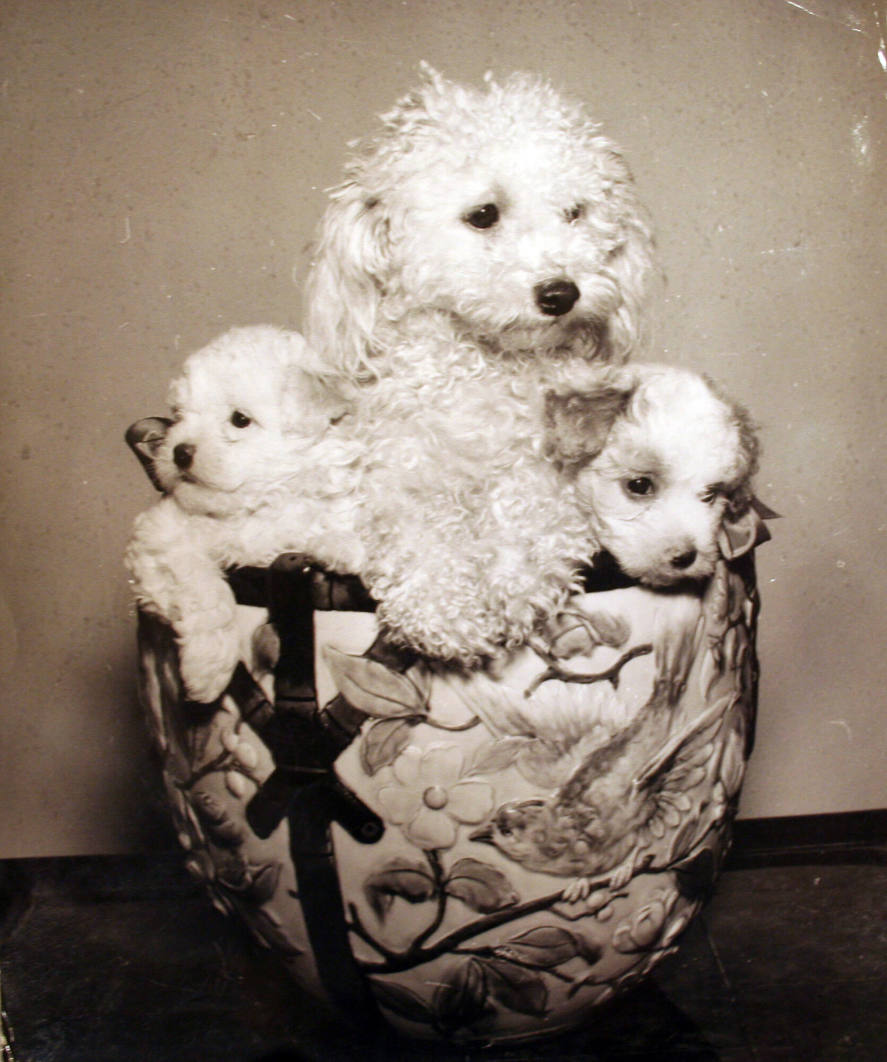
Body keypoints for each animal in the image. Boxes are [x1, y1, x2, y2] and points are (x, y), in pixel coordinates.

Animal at [124, 324, 363, 705]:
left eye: (240, 420)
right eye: (178, 416)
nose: (179, 452)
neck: (261, 500)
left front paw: (340, 545)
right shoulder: (160, 535)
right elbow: (201, 586)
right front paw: (208, 667)